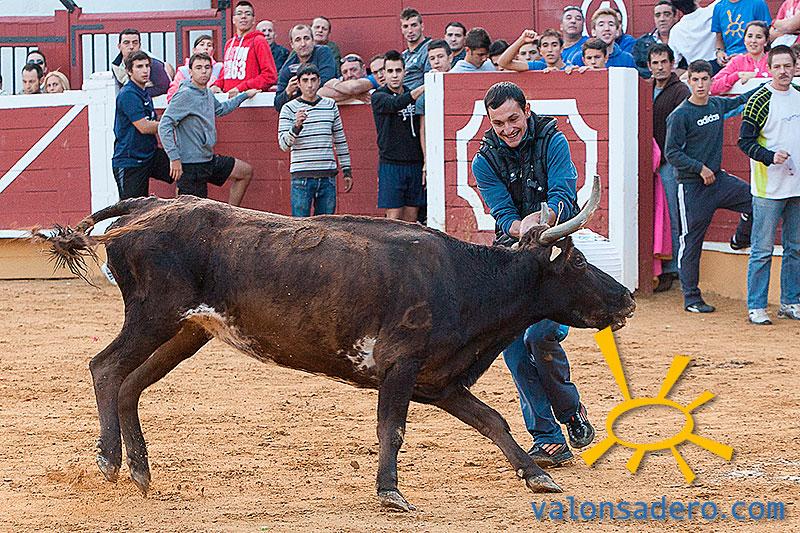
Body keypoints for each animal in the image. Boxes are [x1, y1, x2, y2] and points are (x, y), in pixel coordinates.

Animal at [36, 175, 634, 511]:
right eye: (578, 263)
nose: (627, 299)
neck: (466, 280)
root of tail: (144, 209)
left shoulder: (439, 381)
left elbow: (494, 421)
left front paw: (537, 476)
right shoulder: (401, 368)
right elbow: (391, 429)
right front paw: (391, 492)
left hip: (185, 332)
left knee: (130, 383)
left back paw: (139, 471)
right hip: (153, 318)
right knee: (105, 368)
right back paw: (110, 463)